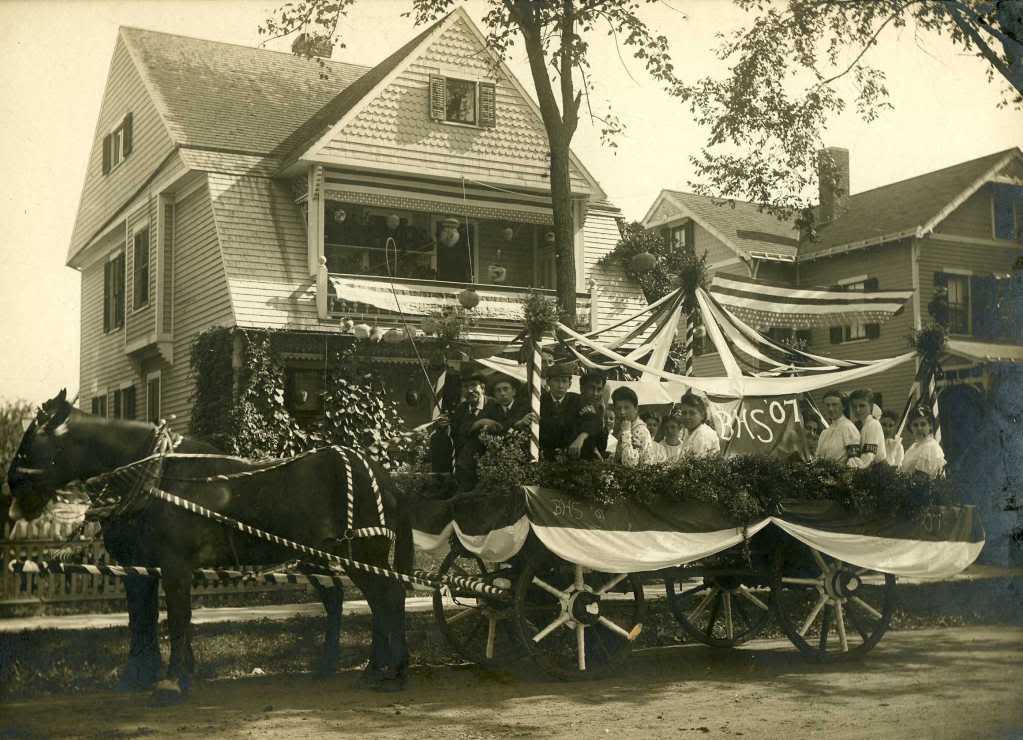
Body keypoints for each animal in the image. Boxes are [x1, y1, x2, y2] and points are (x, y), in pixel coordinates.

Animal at [7, 390, 415, 704]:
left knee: (387, 599)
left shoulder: (174, 565)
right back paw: (354, 668)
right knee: (352, 601)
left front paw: (174, 681)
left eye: (29, 442)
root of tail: (381, 475)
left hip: (364, 553)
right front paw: (139, 676)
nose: (12, 488)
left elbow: (178, 620)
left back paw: (390, 670)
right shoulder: (138, 568)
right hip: (321, 556)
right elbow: (141, 621)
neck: (156, 478)